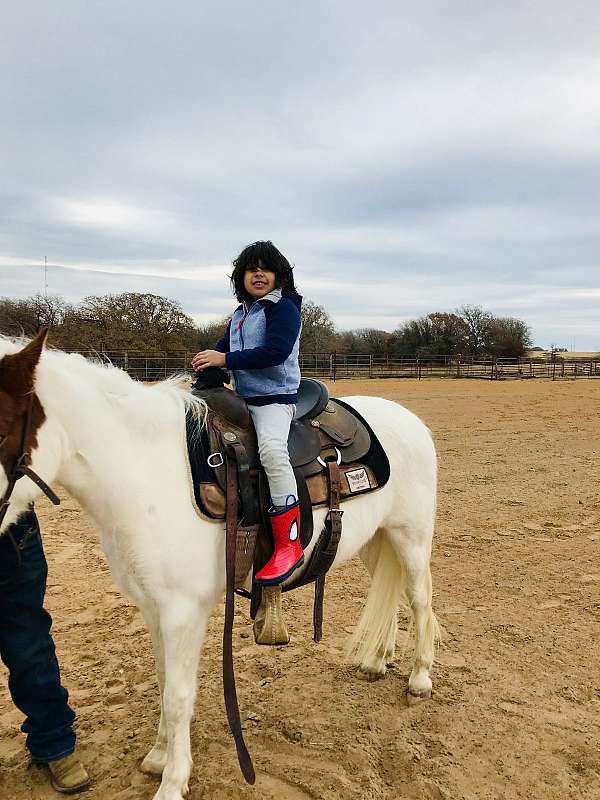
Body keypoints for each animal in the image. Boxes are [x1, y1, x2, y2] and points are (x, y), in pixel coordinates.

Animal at [0, 330, 439, 800]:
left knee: (419, 601)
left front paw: (173, 781)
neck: (145, 471)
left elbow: (177, 696)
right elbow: (163, 681)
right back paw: (377, 660)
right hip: (377, 540)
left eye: (3, 430)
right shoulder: (153, 609)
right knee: (389, 593)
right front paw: (158, 757)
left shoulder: (182, 612)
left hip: (411, 538)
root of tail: (408, 419)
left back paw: (420, 679)